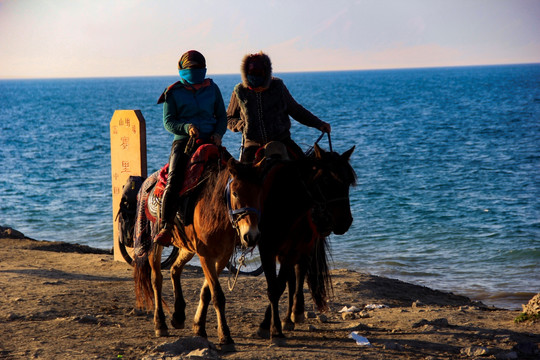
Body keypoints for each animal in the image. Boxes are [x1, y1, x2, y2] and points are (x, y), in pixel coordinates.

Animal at [131, 156, 262, 350]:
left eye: (259, 193)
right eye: (236, 193)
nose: (251, 236)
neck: (215, 209)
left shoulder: (221, 256)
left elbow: (206, 292)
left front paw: (199, 327)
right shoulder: (205, 255)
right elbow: (217, 295)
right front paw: (225, 336)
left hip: (187, 247)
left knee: (175, 270)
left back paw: (178, 316)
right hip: (155, 244)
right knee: (156, 280)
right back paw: (160, 324)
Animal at [256, 143, 354, 344]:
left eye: (349, 181)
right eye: (326, 180)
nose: (345, 222)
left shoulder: (293, 247)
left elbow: (280, 285)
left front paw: (274, 328)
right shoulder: (267, 248)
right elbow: (275, 286)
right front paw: (268, 326)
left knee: (299, 272)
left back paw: (294, 313)